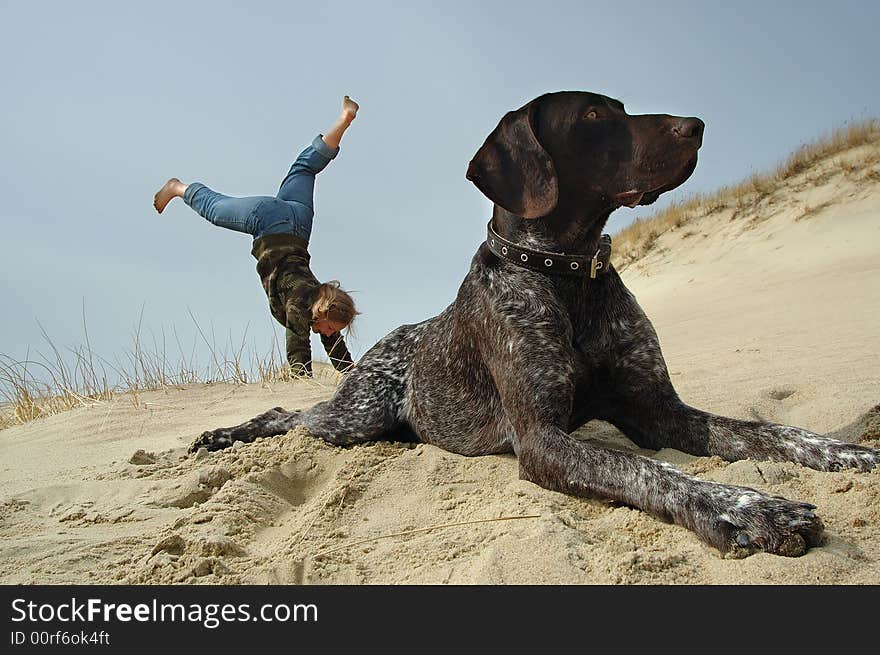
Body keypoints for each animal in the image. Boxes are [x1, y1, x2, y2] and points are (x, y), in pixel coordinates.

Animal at [192, 89, 880, 556]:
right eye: (595, 117)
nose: (698, 127)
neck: (567, 273)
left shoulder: (659, 412)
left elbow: (768, 431)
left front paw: (846, 450)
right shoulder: (543, 439)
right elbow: (650, 470)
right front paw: (749, 509)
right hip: (354, 417)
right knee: (289, 416)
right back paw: (221, 435)